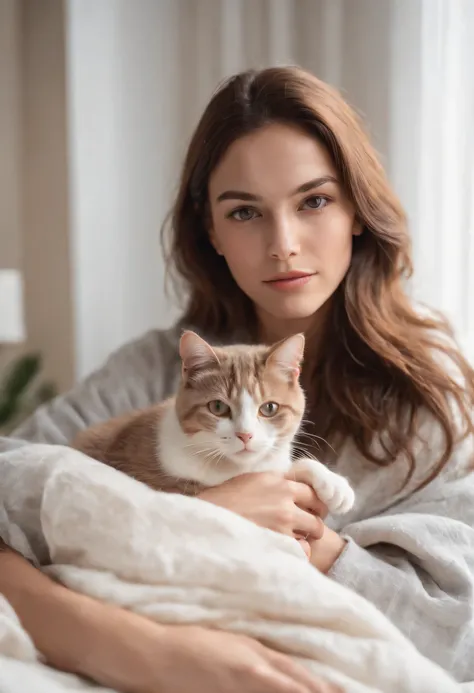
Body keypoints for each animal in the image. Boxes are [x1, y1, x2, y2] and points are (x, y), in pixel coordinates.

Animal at [74, 332, 354, 516]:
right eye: (218, 407)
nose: (245, 435)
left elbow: (286, 466)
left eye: (269, 408)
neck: (233, 469)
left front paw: (332, 482)